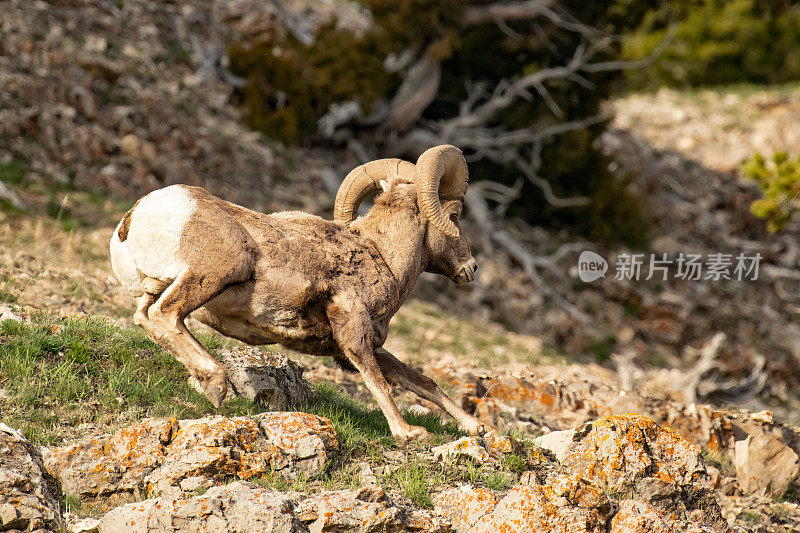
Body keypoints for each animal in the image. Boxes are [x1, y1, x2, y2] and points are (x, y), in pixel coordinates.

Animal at [111, 143, 488, 438]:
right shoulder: (353, 332)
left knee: (148, 318)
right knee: (165, 315)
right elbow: (378, 381)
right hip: (216, 271)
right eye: (455, 216)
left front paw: (476, 427)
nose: (470, 268)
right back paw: (216, 383)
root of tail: (138, 215)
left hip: (154, 289)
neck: (381, 256)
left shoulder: (360, 346)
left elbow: (421, 382)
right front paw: (409, 432)